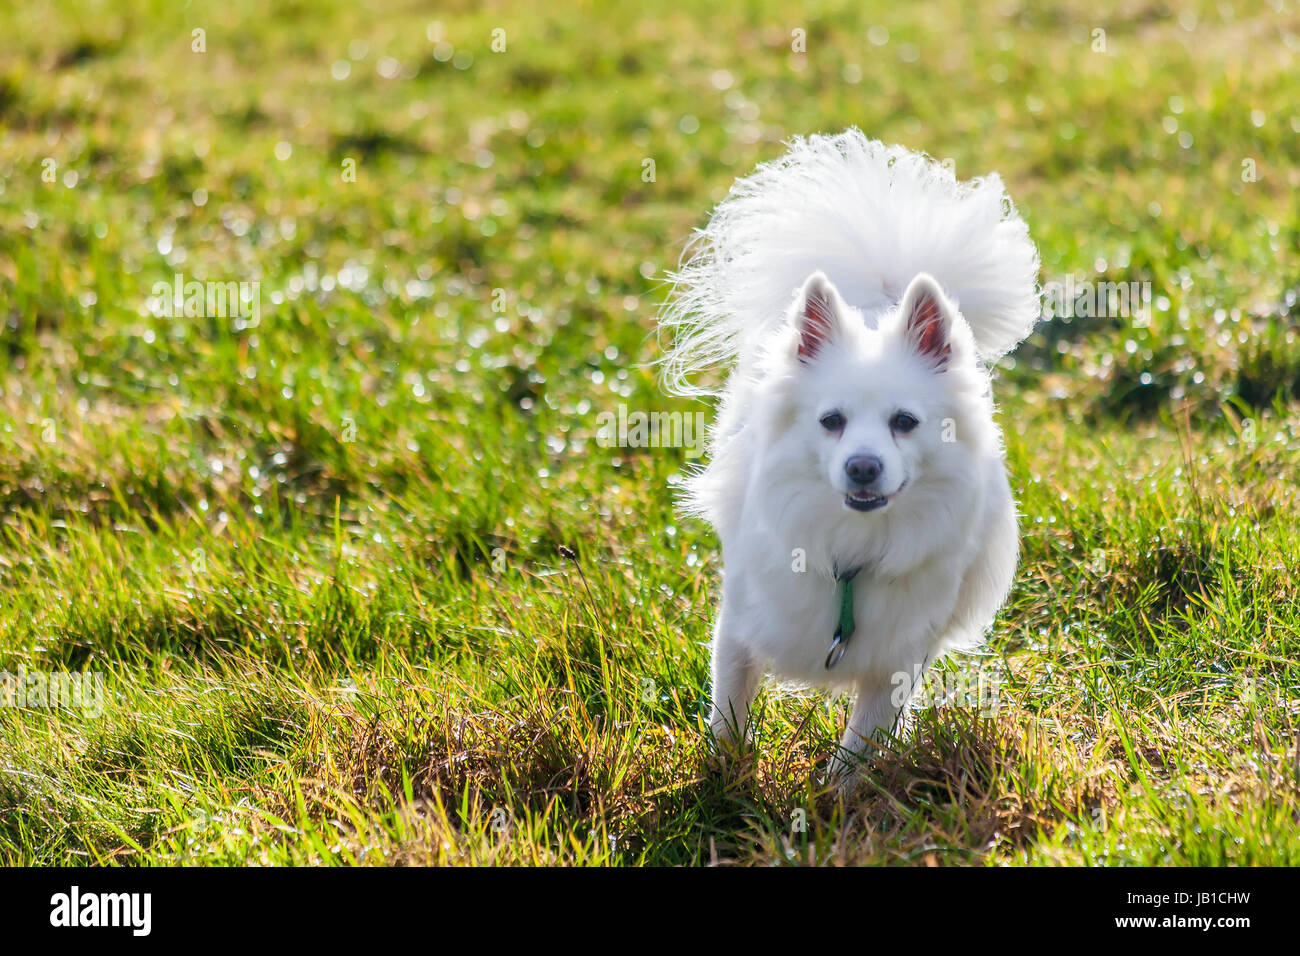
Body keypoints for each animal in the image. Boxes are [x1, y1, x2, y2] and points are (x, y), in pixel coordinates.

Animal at [660, 130, 1034, 780]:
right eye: (831, 422)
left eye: (904, 423)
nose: (863, 466)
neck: (852, 552)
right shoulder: (739, 627)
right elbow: (729, 711)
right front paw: (723, 779)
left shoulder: (898, 659)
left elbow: (862, 740)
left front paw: (838, 793)